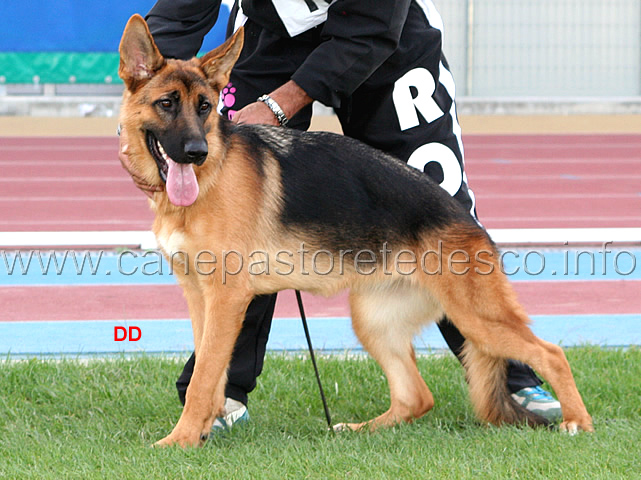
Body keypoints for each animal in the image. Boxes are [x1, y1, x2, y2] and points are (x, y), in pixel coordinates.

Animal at [119, 15, 592, 450]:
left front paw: (179, 440)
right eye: (167, 104)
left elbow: (203, 377)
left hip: (476, 319)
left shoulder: (226, 299)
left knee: (551, 353)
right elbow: (209, 372)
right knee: (416, 397)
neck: (209, 180)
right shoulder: (201, 297)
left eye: (204, 107)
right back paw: (360, 430)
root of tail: (468, 222)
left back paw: (577, 422)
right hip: (374, 321)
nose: (196, 152)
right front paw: (201, 429)